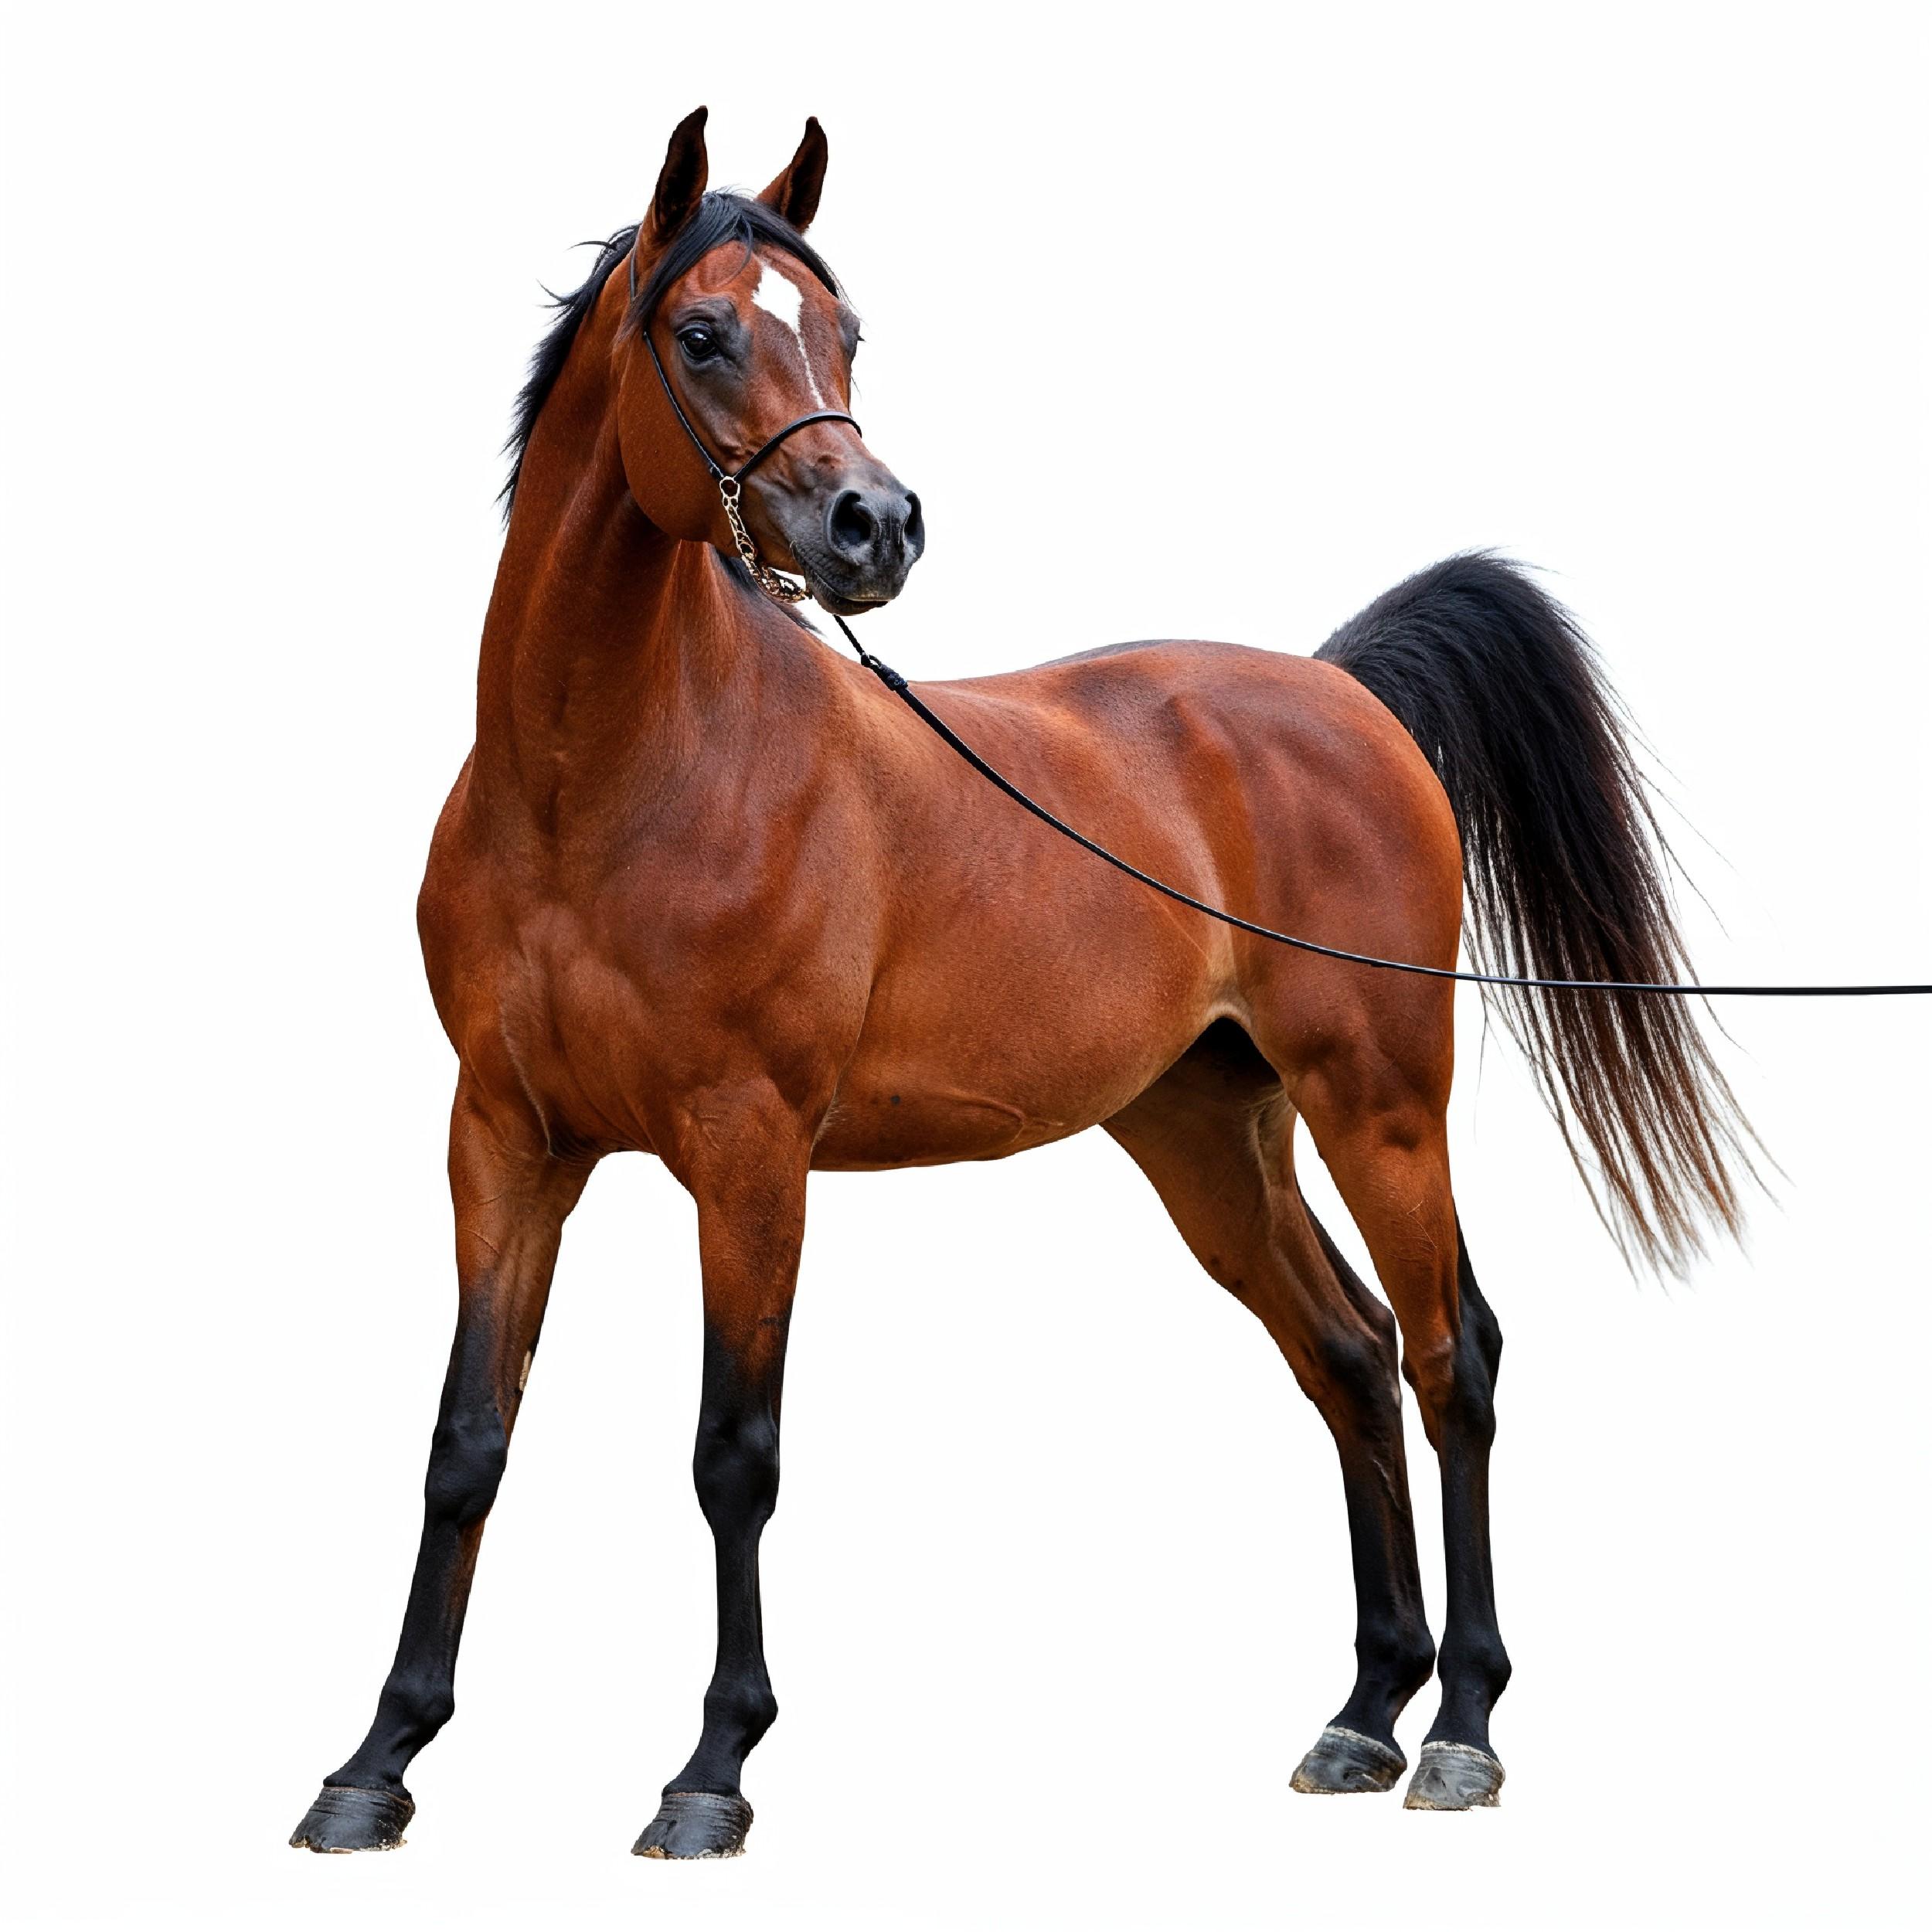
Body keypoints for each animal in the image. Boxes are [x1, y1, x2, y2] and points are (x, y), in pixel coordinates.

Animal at [291, 107, 1756, 1859]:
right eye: (702, 333)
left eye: (845, 330)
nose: (876, 525)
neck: (610, 783)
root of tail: (1338, 692)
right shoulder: (505, 1140)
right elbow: (467, 1442)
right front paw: (376, 1762)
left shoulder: (748, 1150)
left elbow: (733, 1455)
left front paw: (711, 1770)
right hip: (1206, 1133)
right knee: (1342, 1353)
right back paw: (1362, 1712)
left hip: (1381, 1105)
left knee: (1446, 1352)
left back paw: (1461, 1725)